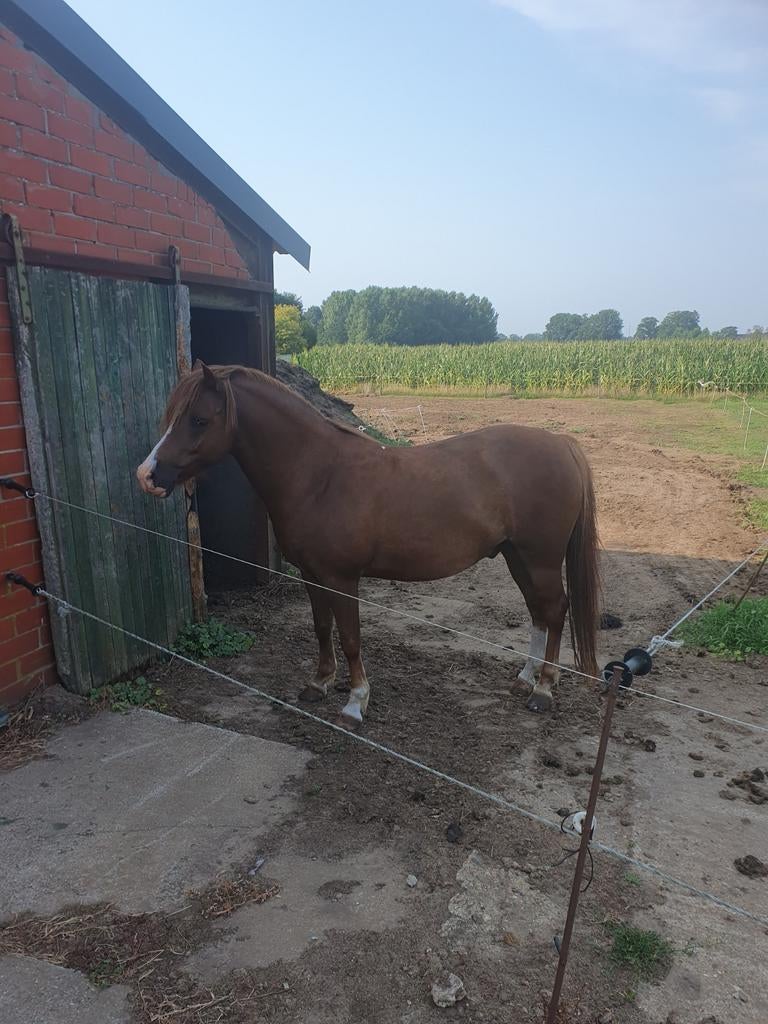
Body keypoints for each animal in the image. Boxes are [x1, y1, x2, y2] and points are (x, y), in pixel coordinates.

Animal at [137, 362, 600, 728]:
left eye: (198, 419)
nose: (147, 475)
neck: (319, 475)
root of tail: (562, 444)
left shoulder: (342, 578)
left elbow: (350, 637)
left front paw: (355, 704)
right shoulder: (312, 574)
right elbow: (322, 629)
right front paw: (319, 684)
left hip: (540, 559)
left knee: (555, 610)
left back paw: (543, 690)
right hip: (516, 556)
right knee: (539, 612)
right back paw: (525, 678)